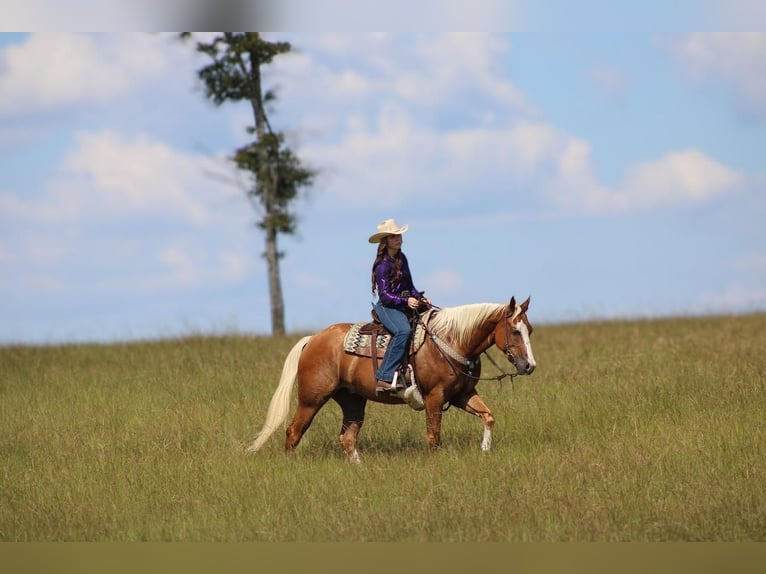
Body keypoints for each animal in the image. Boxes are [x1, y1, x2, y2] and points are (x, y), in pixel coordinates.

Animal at [249, 296, 536, 464]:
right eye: (514, 330)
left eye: (530, 330)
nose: (529, 366)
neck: (452, 340)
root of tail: (312, 339)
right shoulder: (434, 397)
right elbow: (434, 435)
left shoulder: (461, 395)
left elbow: (488, 416)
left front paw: (485, 450)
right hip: (312, 398)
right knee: (294, 431)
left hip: (353, 401)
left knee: (347, 438)